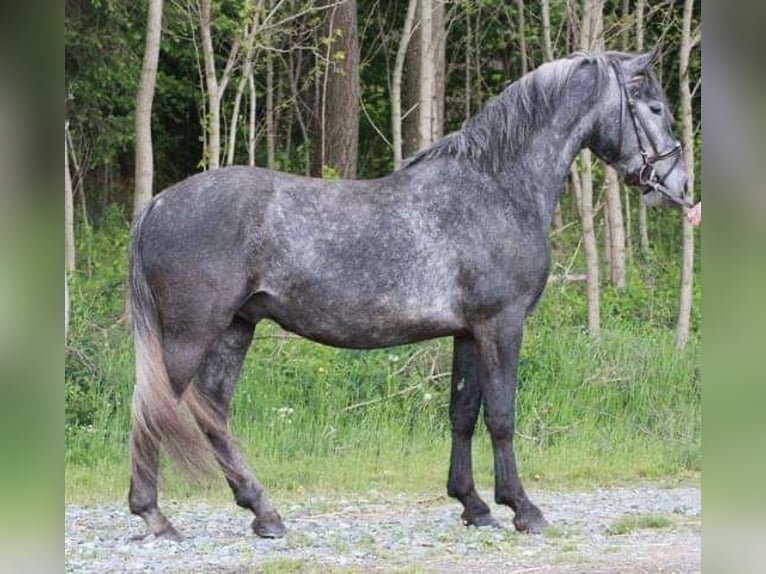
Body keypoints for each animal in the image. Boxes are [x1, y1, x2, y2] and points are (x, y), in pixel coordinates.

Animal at [126, 48, 688, 540]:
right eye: (655, 107)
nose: (677, 183)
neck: (498, 188)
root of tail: (157, 204)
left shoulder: (468, 332)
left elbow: (462, 414)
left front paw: (473, 506)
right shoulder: (501, 325)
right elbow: (501, 416)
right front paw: (523, 509)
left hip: (235, 329)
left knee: (212, 412)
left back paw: (264, 513)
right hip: (190, 335)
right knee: (156, 407)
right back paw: (155, 516)